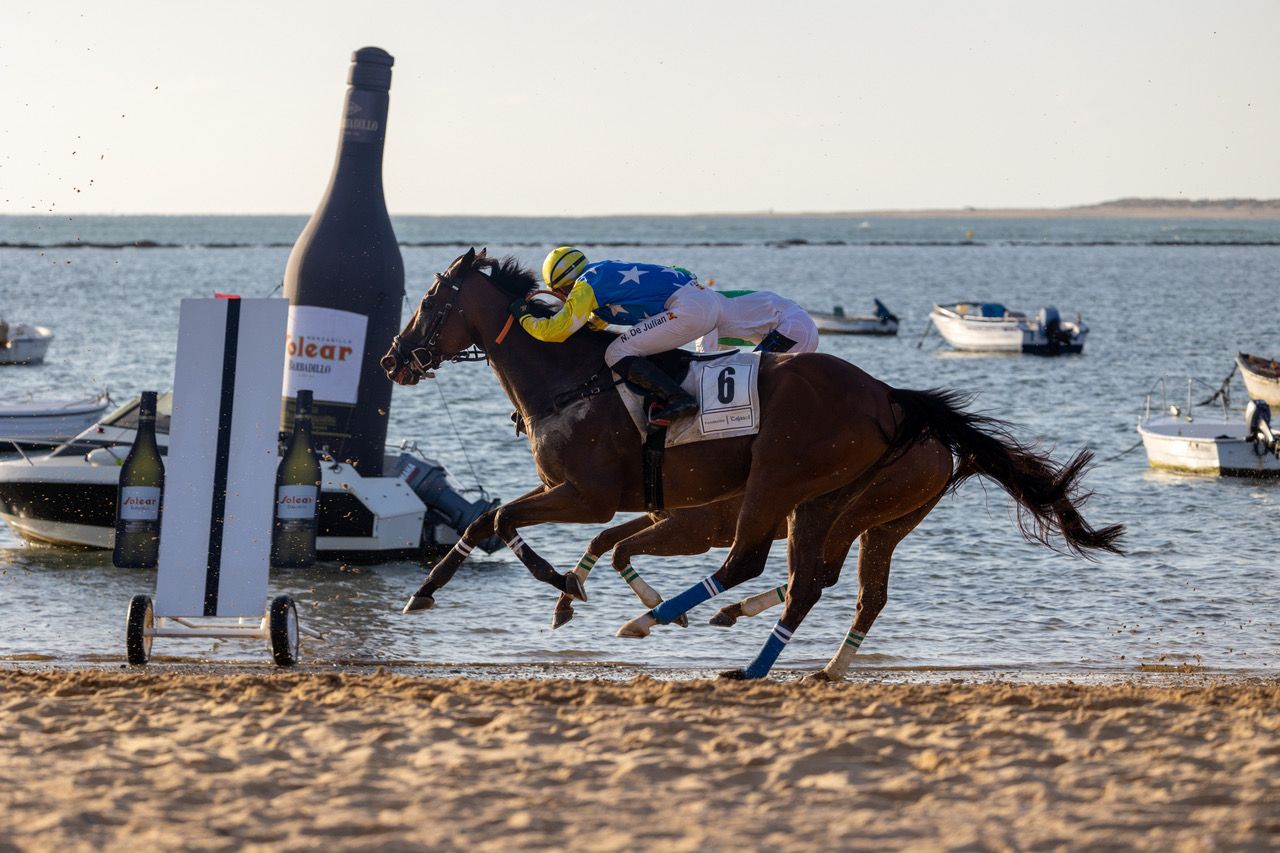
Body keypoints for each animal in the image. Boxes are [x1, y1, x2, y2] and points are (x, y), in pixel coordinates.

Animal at [381, 248, 1123, 680]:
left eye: (430, 301)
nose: (392, 357)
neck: (569, 380)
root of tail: (892, 400)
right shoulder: (605, 499)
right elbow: (493, 526)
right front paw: (433, 592)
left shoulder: (587, 493)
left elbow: (502, 522)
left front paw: (554, 582)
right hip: (845, 509)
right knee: (835, 586)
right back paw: (790, 658)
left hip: (781, 479)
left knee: (759, 565)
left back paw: (684, 629)